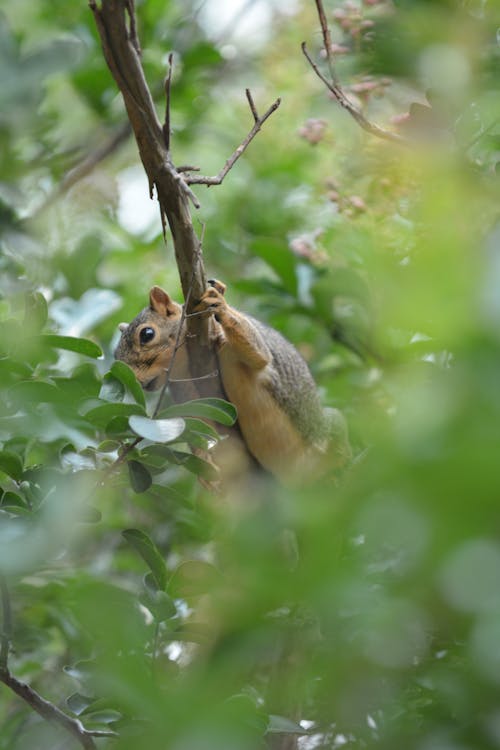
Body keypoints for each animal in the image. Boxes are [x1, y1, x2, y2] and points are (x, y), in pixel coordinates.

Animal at [114, 280, 350, 484]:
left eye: (147, 334)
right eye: (116, 355)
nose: (135, 380)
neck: (186, 363)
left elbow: (259, 355)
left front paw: (220, 304)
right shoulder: (184, 390)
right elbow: (197, 427)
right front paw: (207, 469)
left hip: (330, 430)